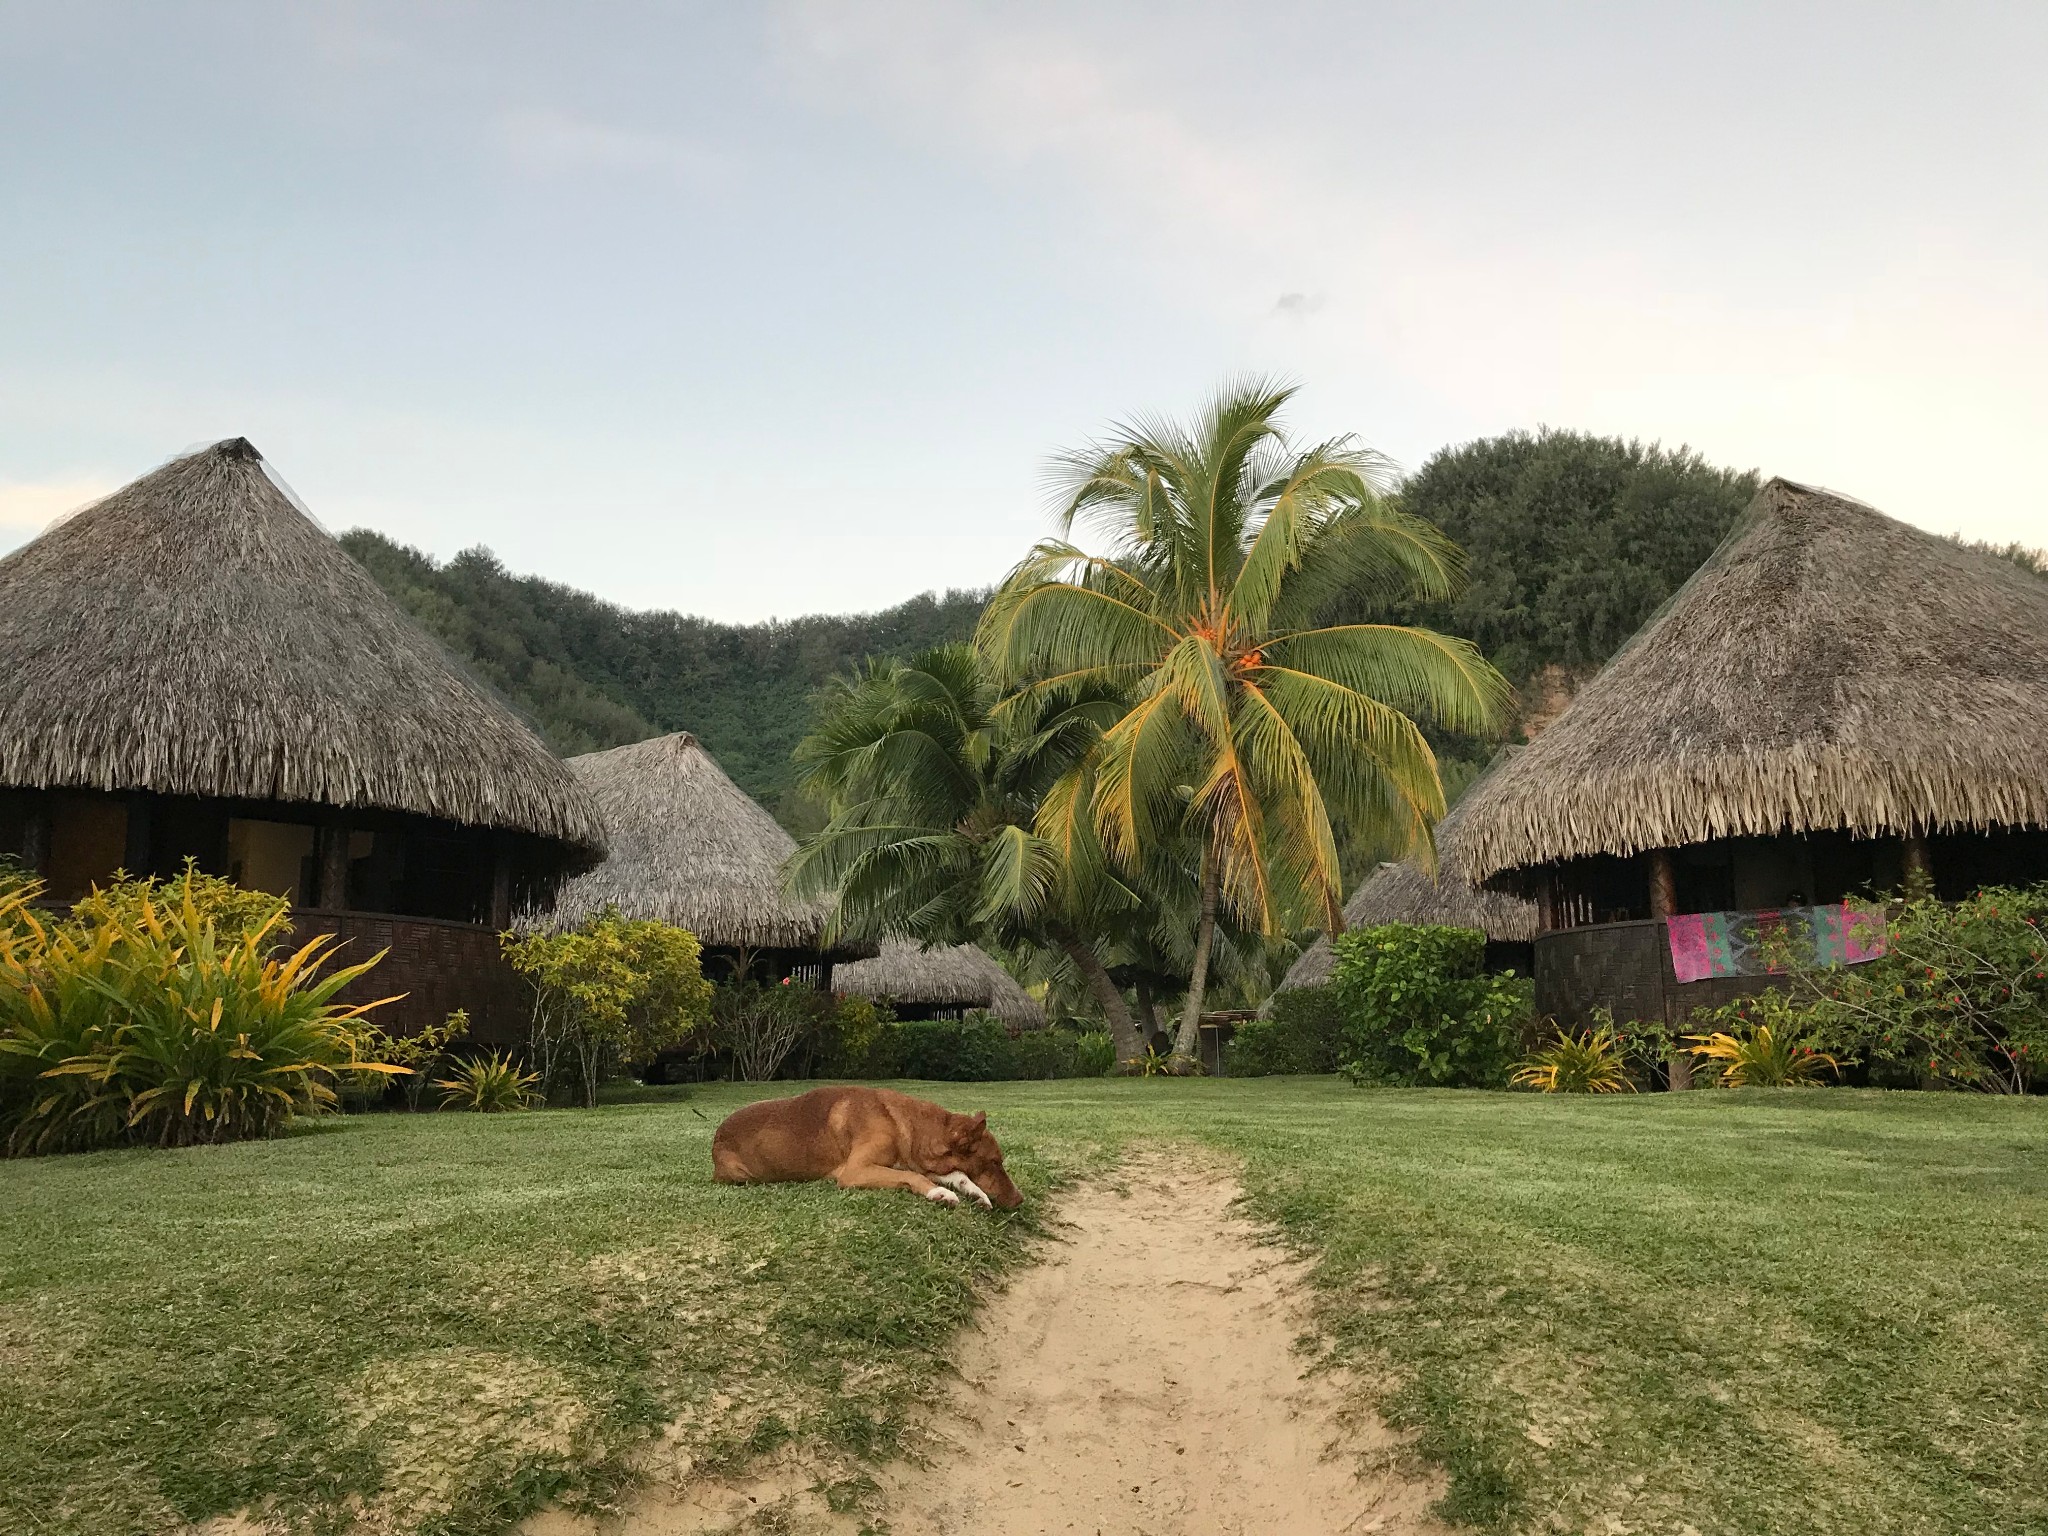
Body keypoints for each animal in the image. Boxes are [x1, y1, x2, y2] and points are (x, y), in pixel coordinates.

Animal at [712, 1089, 1024, 1212]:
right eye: (995, 1162)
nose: (1020, 1200)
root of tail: (716, 1136)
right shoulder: (855, 1171)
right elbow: (916, 1178)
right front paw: (939, 1193)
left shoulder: (915, 1161)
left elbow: (958, 1174)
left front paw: (977, 1192)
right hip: (742, 1175)